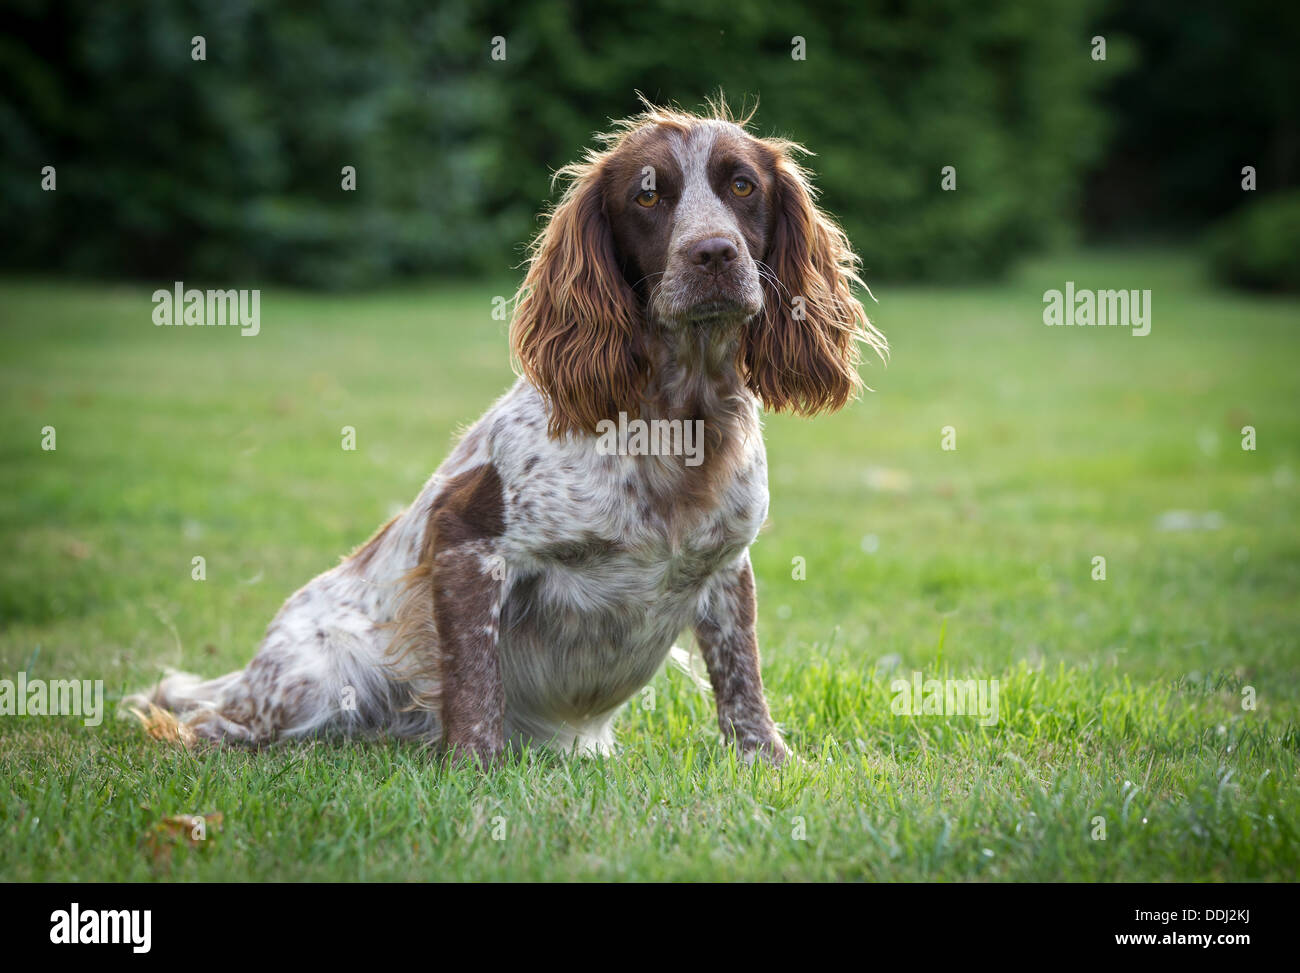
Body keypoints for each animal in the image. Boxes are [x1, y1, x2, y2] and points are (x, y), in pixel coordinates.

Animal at [129, 100, 883, 770]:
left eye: (742, 186)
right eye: (647, 197)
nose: (714, 252)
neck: (679, 421)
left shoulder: (726, 566)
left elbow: (741, 677)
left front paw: (768, 760)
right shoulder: (467, 543)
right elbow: (473, 681)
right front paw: (474, 769)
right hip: (310, 679)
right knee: (203, 723)